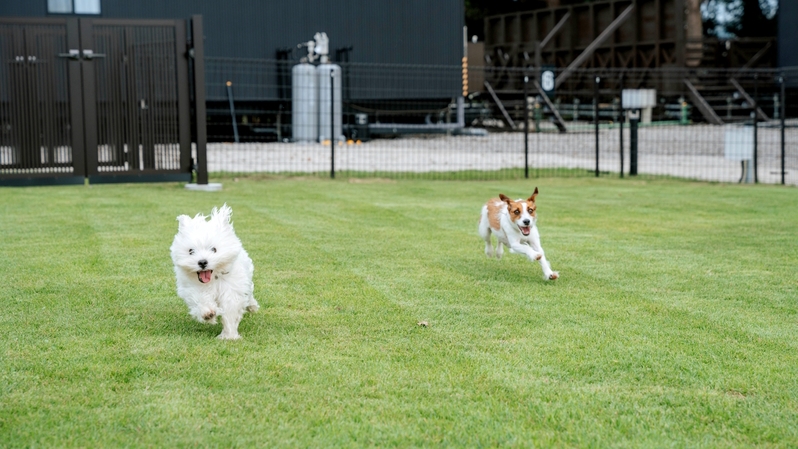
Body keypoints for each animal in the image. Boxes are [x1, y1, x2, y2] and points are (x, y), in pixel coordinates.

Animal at [171, 204, 260, 340]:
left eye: (214, 249)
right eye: (191, 251)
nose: (202, 262)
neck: (214, 278)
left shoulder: (231, 289)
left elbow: (230, 310)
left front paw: (229, 335)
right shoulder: (194, 287)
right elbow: (201, 298)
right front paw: (208, 313)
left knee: (249, 296)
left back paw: (253, 307)